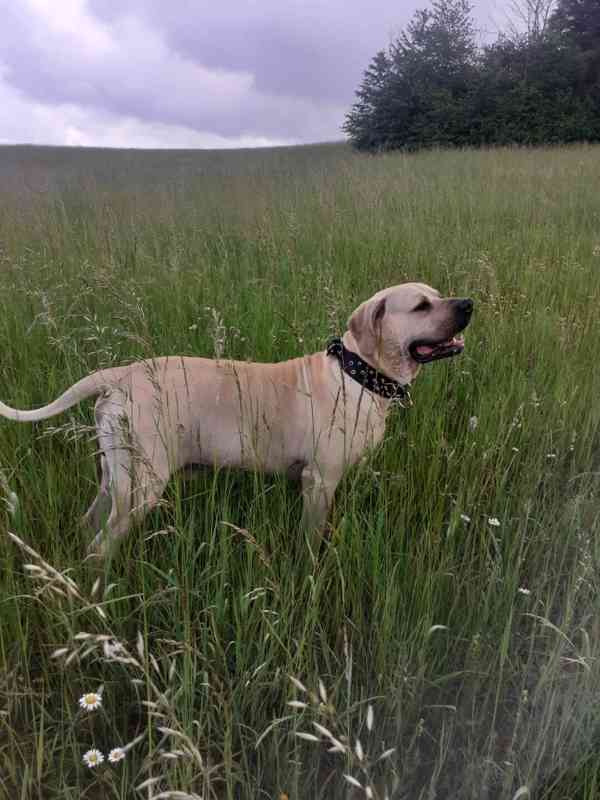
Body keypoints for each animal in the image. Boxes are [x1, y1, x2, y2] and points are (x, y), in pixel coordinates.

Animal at [0, 284, 474, 560]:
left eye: (437, 294)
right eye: (421, 306)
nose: (469, 303)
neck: (358, 372)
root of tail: (119, 375)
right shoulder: (320, 482)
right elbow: (311, 538)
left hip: (116, 474)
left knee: (89, 526)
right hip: (142, 484)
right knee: (101, 545)